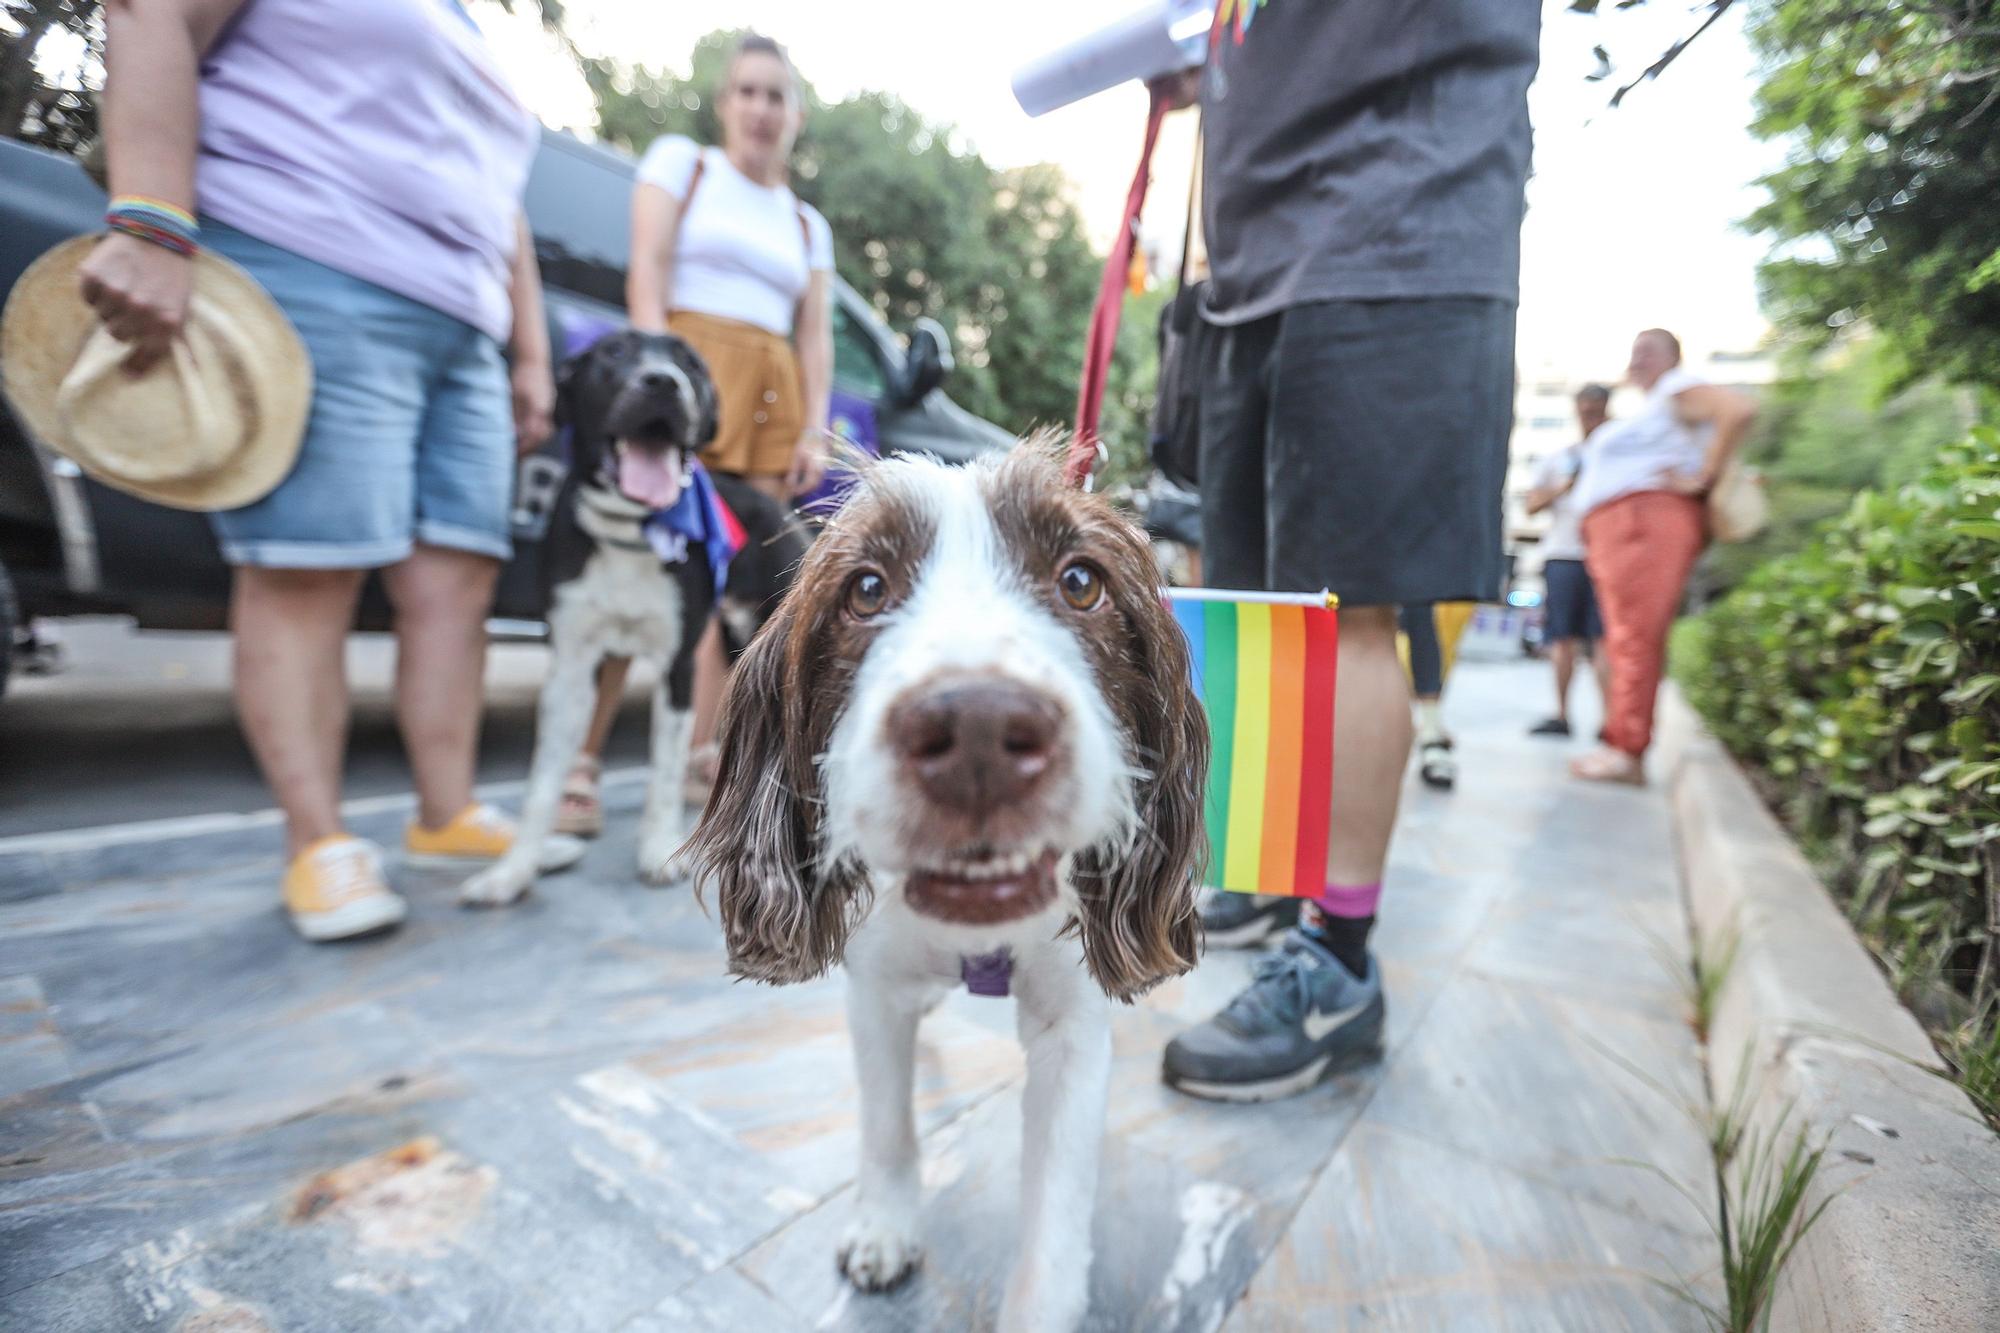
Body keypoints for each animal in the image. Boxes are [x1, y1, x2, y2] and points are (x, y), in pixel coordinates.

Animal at [464, 330, 808, 904]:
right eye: (613, 354)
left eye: (690, 364)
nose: (664, 383)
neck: (630, 529)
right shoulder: (569, 668)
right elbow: (541, 782)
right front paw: (515, 868)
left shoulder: (679, 666)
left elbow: (663, 773)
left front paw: (658, 850)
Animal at [680, 438, 1208, 1328]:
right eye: (865, 589)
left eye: (1081, 581)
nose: (979, 730)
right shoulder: (876, 989)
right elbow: (887, 1120)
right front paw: (885, 1228)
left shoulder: (1073, 1028)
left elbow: (1055, 1214)